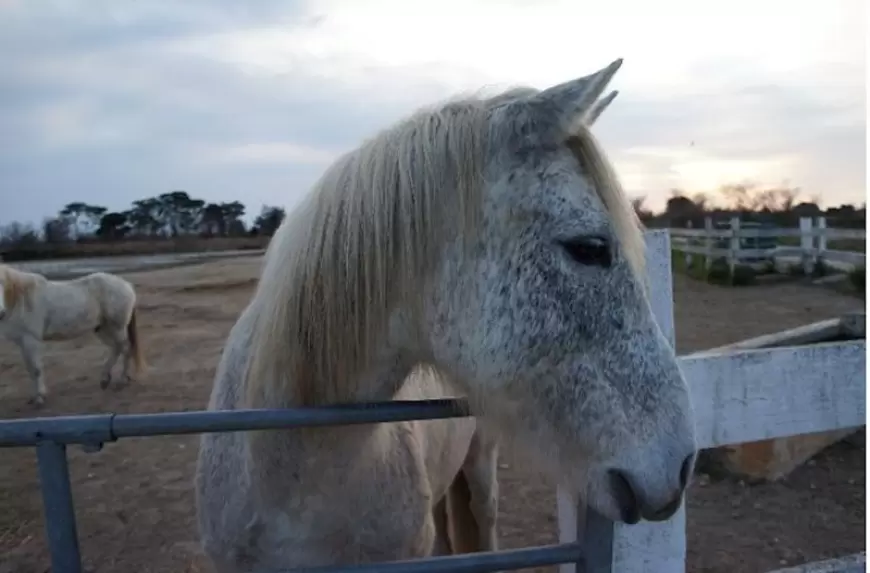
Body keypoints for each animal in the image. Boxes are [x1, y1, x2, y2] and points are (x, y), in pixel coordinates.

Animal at [0, 262, 145, 404]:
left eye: (2, 282)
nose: (1, 312)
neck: (22, 298)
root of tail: (126, 285)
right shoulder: (22, 341)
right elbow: (30, 369)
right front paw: (34, 397)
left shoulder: (31, 340)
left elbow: (36, 369)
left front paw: (40, 397)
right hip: (103, 329)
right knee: (116, 348)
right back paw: (105, 379)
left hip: (116, 328)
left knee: (125, 348)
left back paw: (122, 380)